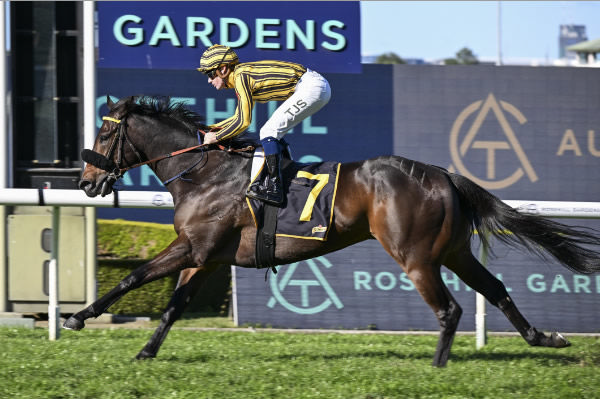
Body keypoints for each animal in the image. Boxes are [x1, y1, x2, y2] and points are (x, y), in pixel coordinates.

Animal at [64, 95, 600, 368]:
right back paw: (545, 338)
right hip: (453, 252)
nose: (86, 182)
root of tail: (444, 174)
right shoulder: (207, 256)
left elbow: (132, 278)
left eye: (104, 133)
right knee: (496, 288)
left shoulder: (192, 247)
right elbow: (174, 306)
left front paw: (77, 317)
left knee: (450, 309)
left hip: (416, 256)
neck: (203, 172)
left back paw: (438, 366)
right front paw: (146, 350)